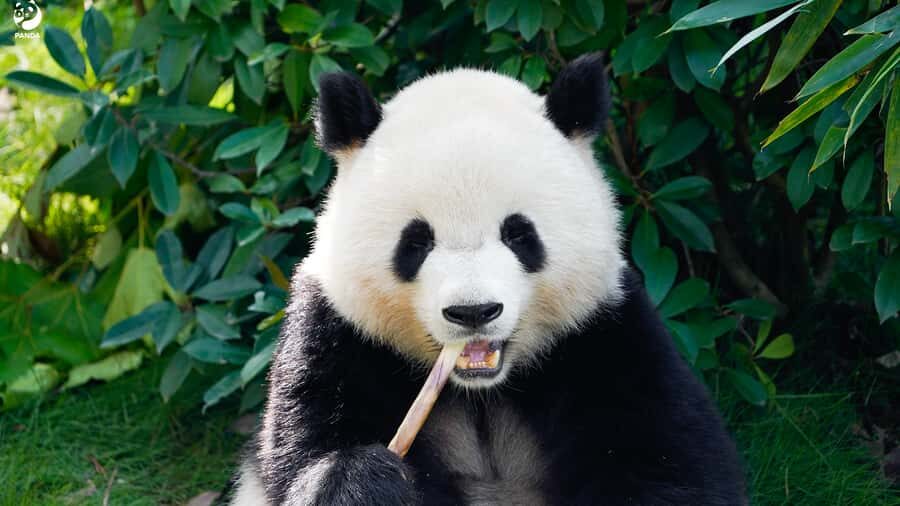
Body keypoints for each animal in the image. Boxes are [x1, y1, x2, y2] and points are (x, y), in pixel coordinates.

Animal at [231, 53, 746, 505]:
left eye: (519, 234)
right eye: (416, 242)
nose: (473, 312)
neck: (481, 390)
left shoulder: (607, 334)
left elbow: (674, 466)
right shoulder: (337, 337)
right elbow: (306, 447)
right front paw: (367, 482)